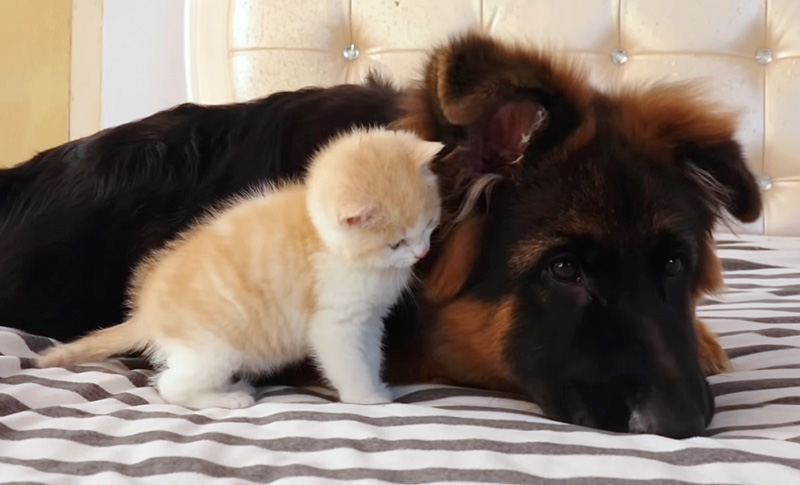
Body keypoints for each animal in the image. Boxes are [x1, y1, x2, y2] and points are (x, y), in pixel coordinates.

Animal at [37, 127, 444, 408]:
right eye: (396, 243)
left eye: (428, 224)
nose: (422, 253)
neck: (328, 240)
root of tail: (146, 315)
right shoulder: (336, 322)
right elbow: (349, 363)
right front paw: (367, 398)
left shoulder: (370, 319)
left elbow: (371, 355)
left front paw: (378, 385)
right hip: (214, 349)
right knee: (172, 387)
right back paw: (228, 398)